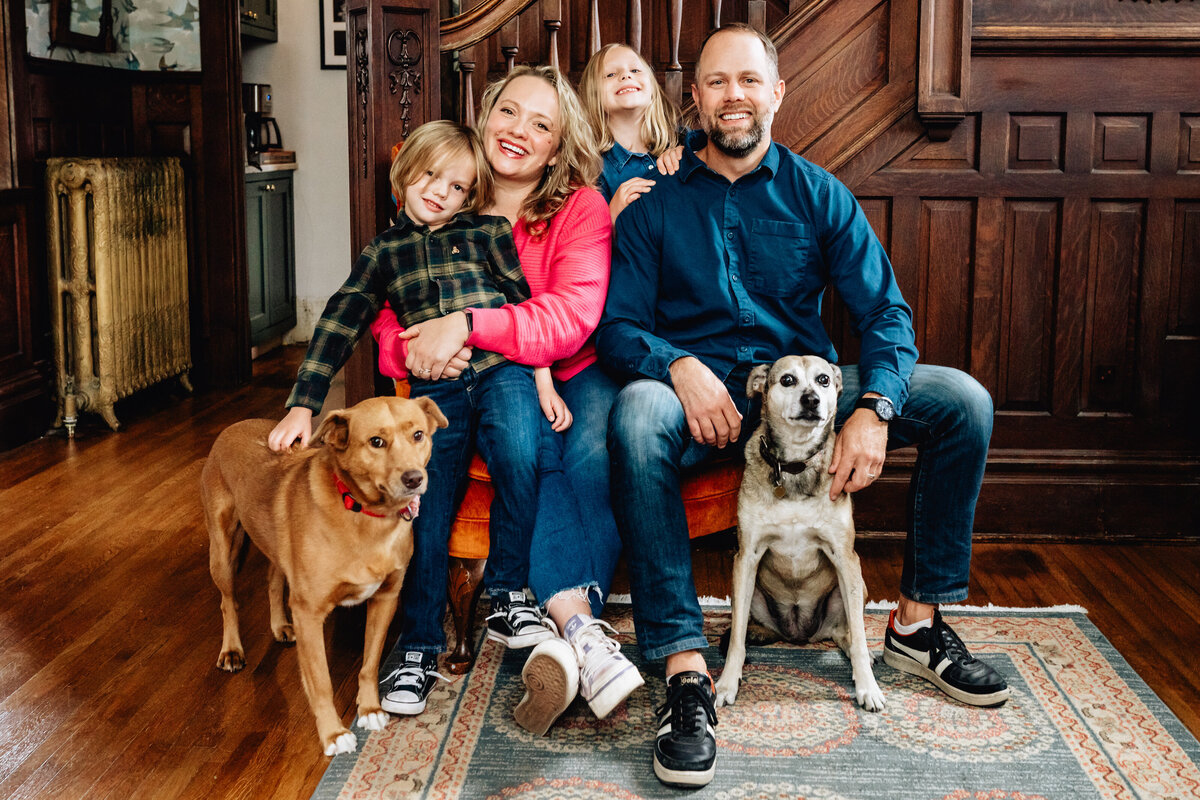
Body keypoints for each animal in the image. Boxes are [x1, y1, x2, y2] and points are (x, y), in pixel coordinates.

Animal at [199, 398, 448, 758]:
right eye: (376, 442)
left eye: (418, 435)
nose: (415, 478)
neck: (366, 514)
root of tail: (233, 426)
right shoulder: (309, 613)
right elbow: (320, 682)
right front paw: (333, 734)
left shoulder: (386, 598)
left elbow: (370, 664)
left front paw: (369, 710)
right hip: (222, 548)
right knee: (228, 601)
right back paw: (231, 650)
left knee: (273, 579)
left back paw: (279, 625)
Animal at [710, 357, 892, 714]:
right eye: (787, 380)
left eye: (823, 380)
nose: (811, 400)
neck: (794, 464)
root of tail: (799, 636)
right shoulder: (746, 557)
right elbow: (736, 637)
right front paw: (726, 682)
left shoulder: (845, 557)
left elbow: (860, 635)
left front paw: (868, 688)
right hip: (745, 591)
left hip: (855, 587)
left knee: (846, 633)